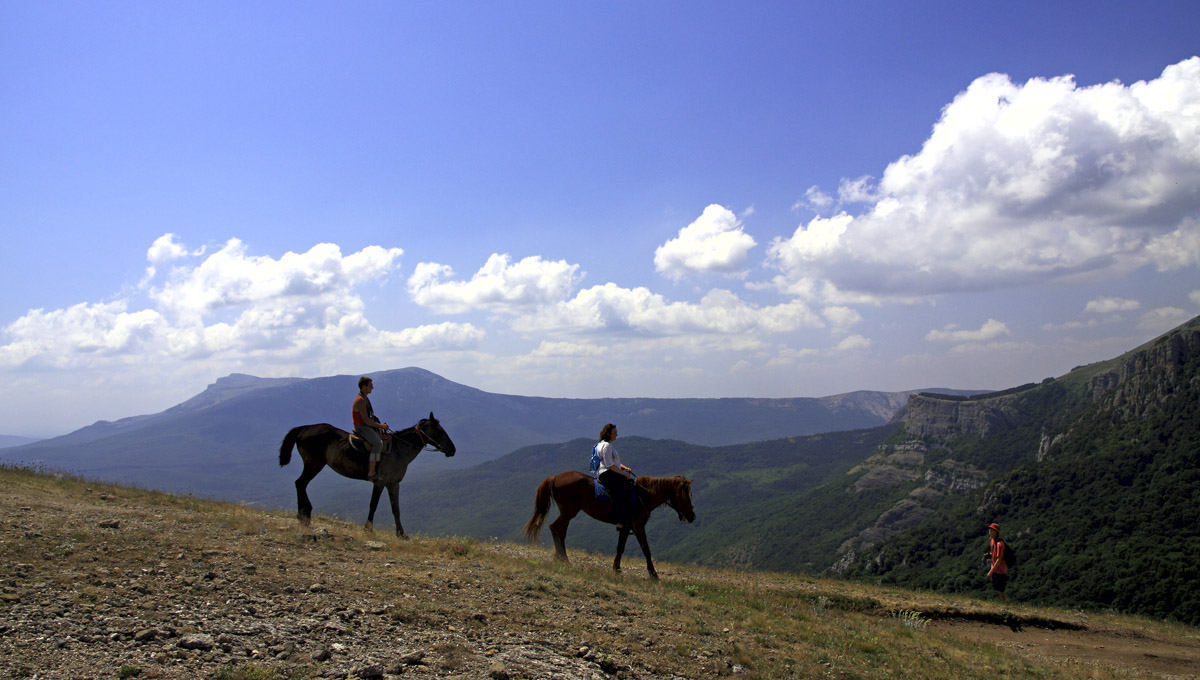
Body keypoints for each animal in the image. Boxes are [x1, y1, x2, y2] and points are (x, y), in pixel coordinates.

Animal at [278, 414, 456, 537]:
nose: (452, 449)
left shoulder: (393, 483)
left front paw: (401, 533)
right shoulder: (380, 482)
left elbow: (396, 508)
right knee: (300, 483)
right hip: (314, 465)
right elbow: (373, 505)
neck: (398, 449)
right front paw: (368, 528)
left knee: (300, 484)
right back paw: (304, 514)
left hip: (312, 465)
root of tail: (303, 429)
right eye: (439, 431)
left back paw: (303, 514)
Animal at [523, 472, 696, 580]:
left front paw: (617, 567)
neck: (643, 496)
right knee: (555, 528)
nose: (692, 516)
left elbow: (622, 547)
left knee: (561, 532)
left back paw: (561, 557)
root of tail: (555, 477)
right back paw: (563, 558)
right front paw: (653, 574)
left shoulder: (627, 527)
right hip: (569, 512)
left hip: (568, 513)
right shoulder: (637, 526)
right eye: (683, 495)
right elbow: (645, 549)